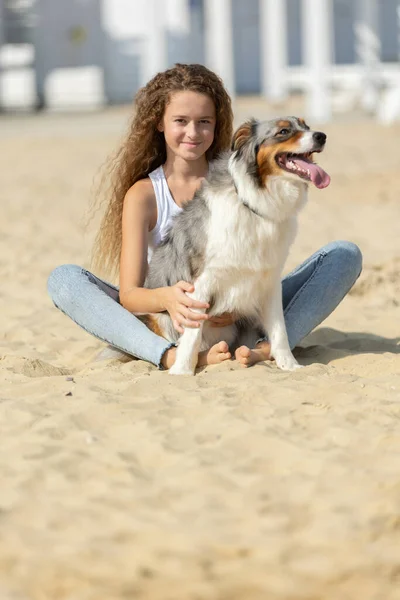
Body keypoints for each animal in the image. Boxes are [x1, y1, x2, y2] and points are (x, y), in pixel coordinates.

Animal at [142, 115, 330, 372]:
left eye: (307, 126)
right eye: (283, 131)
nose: (321, 136)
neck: (253, 203)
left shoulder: (270, 281)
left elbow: (280, 329)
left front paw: (289, 364)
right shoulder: (201, 282)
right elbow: (191, 335)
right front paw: (182, 372)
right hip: (161, 316)